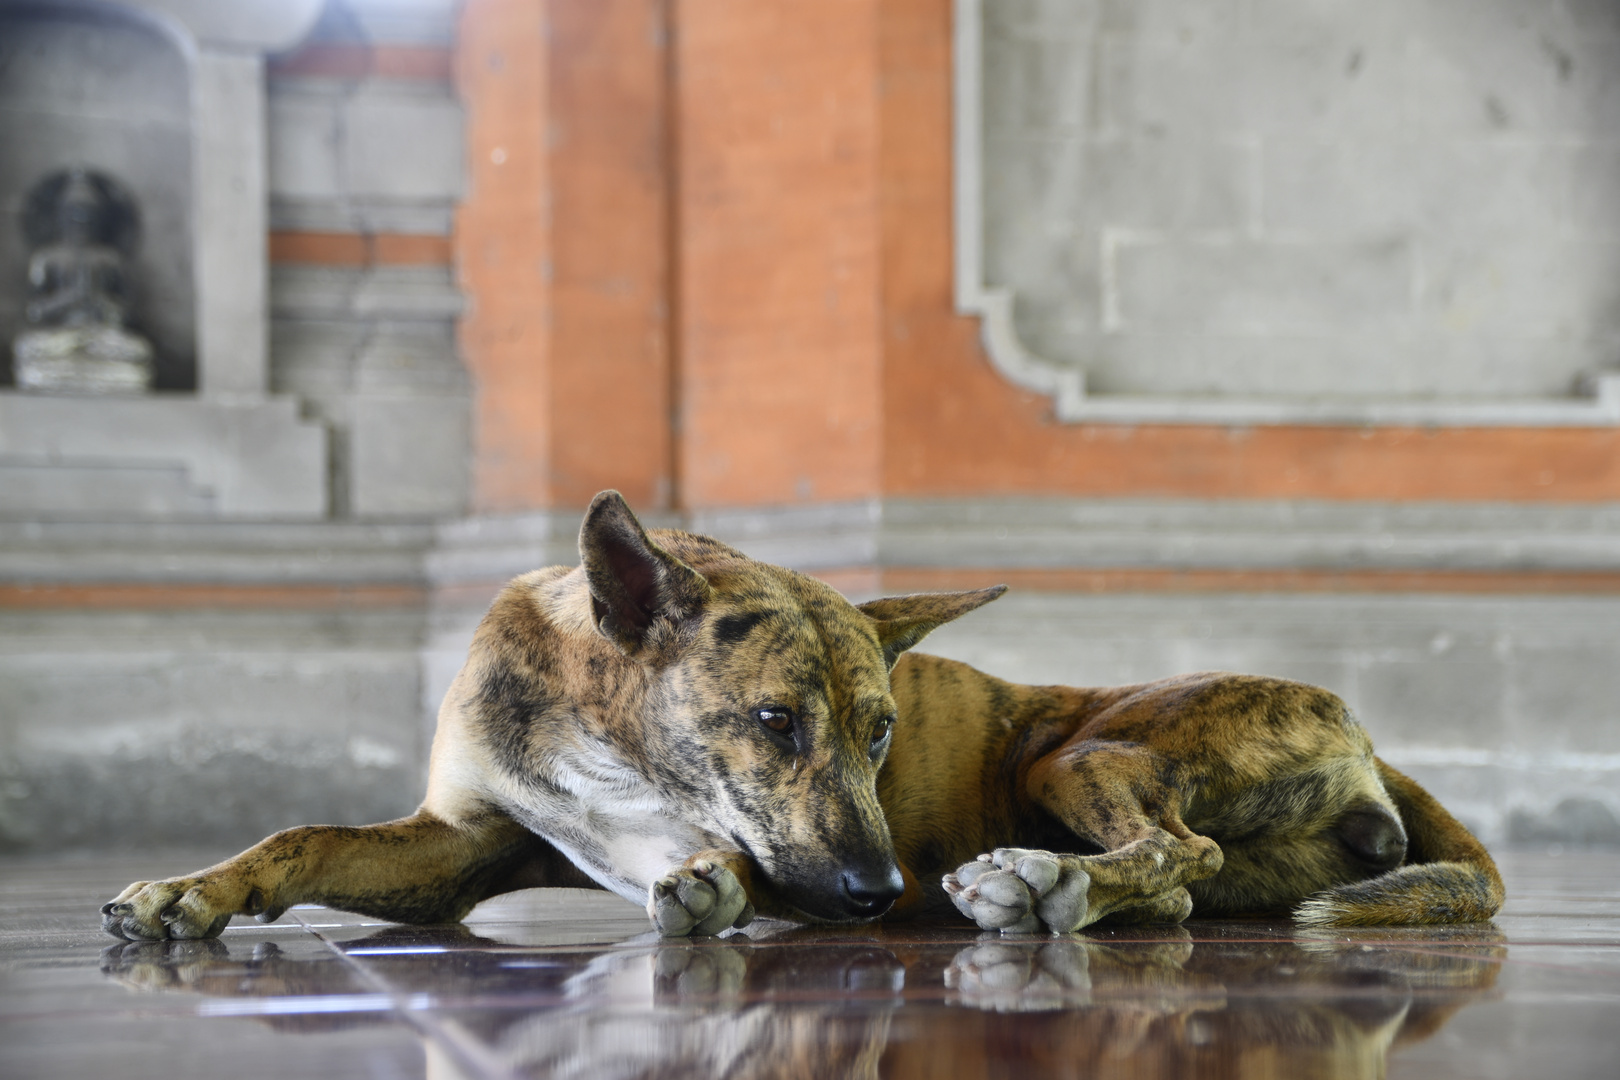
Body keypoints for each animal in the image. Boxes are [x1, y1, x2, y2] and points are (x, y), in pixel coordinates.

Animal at [101, 488, 1503, 939]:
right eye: (776, 722)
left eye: (881, 731)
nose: (881, 896)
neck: (604, 733)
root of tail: (1367, 737)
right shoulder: (463, 843)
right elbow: (301, 840)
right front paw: (190, 892)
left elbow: (713, 866)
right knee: (1182, 885)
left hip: (1085, 752)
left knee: (1175, 850)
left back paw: (1040, 881)